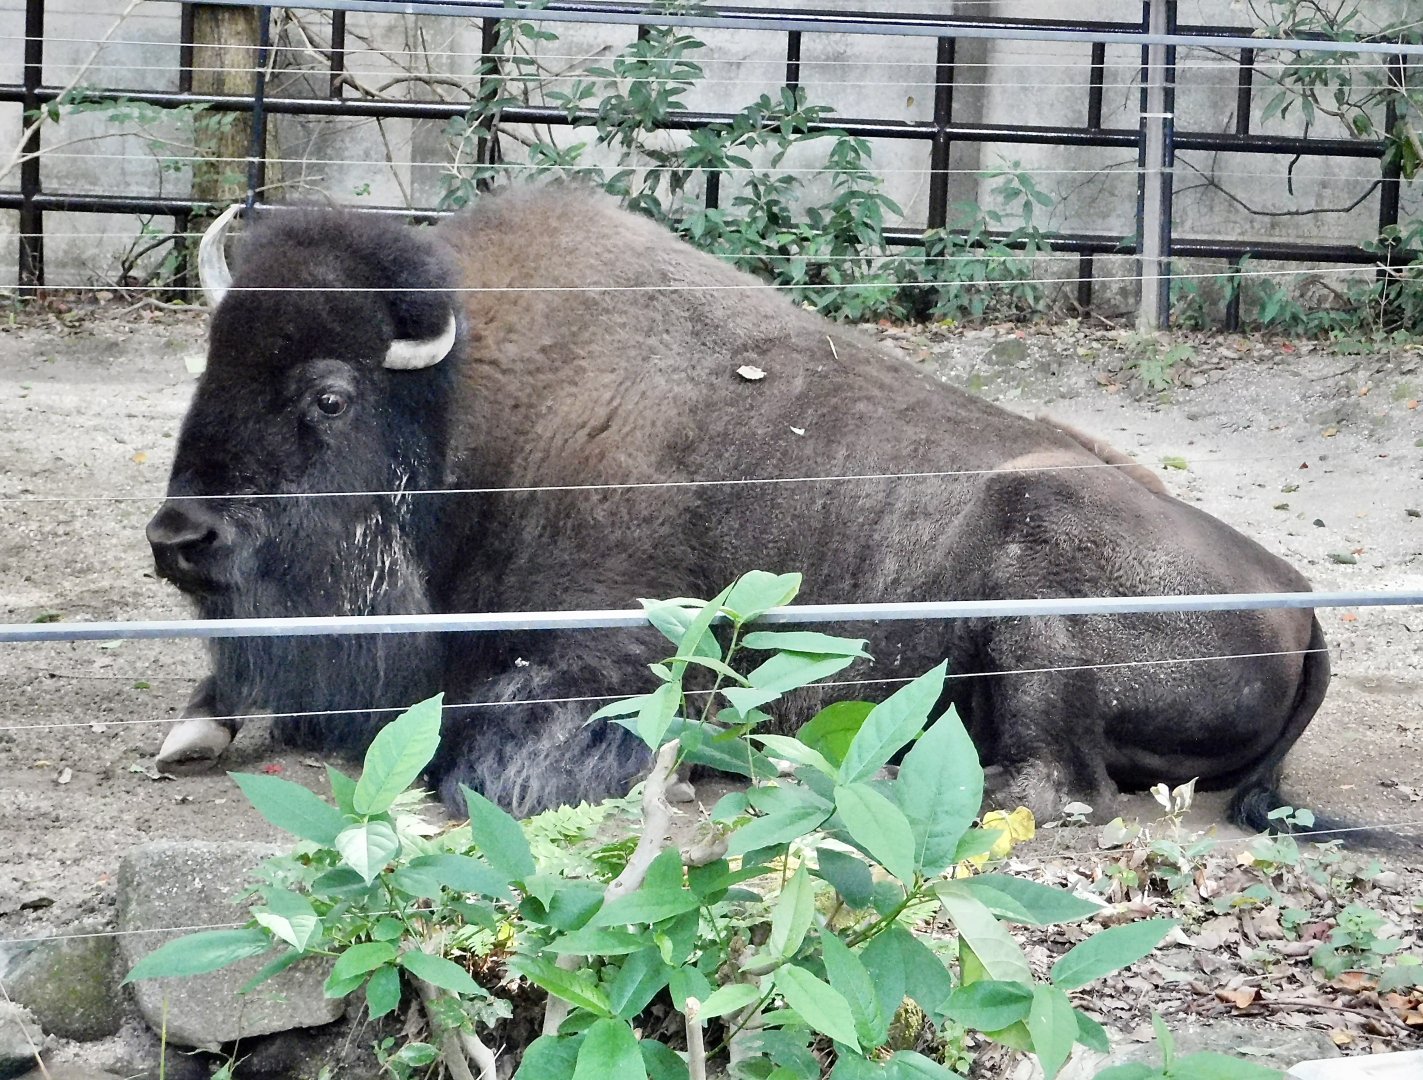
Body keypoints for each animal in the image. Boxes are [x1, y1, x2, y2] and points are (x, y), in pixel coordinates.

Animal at [148, 188, 1330, 832]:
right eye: (207, 365)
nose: (180, 538)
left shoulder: (611, 655)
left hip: (1040, 561)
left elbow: (475, 746)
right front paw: (196, 730)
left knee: (1052, 785)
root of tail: (1302, 606)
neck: (463, 420)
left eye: (327, 395)